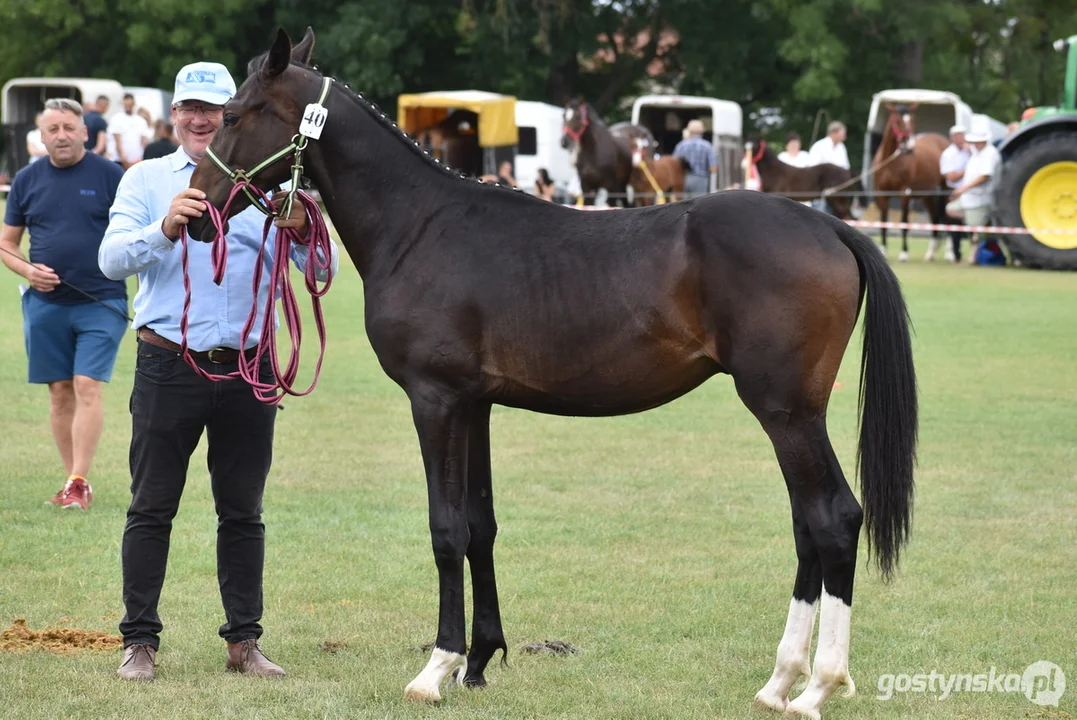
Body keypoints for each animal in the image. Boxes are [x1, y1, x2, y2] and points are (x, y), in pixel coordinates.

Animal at [191, 28, 917, 718]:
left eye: (233, 114)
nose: (197, 211)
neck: (419, 225)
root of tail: (831, 229)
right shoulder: (475, 405)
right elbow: (479, 526)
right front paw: (479, 662)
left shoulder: (436, 401)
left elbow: (446, 529)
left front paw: (436, 670)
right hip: (793, 416)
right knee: (806, 527)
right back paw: (779, 683)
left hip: (785, 411)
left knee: (831, 519)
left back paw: (817, 686)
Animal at [870, 105, 947, 262]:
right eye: (898, 120)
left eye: (912, 120)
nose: (909, 145)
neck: (891, 161)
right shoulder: (882, 193)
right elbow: (883, 222)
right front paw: (883, 250)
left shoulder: (904, 193)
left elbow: (904, 222)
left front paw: (904, 253)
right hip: (927, 195)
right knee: (934, 218)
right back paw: (931, 253)